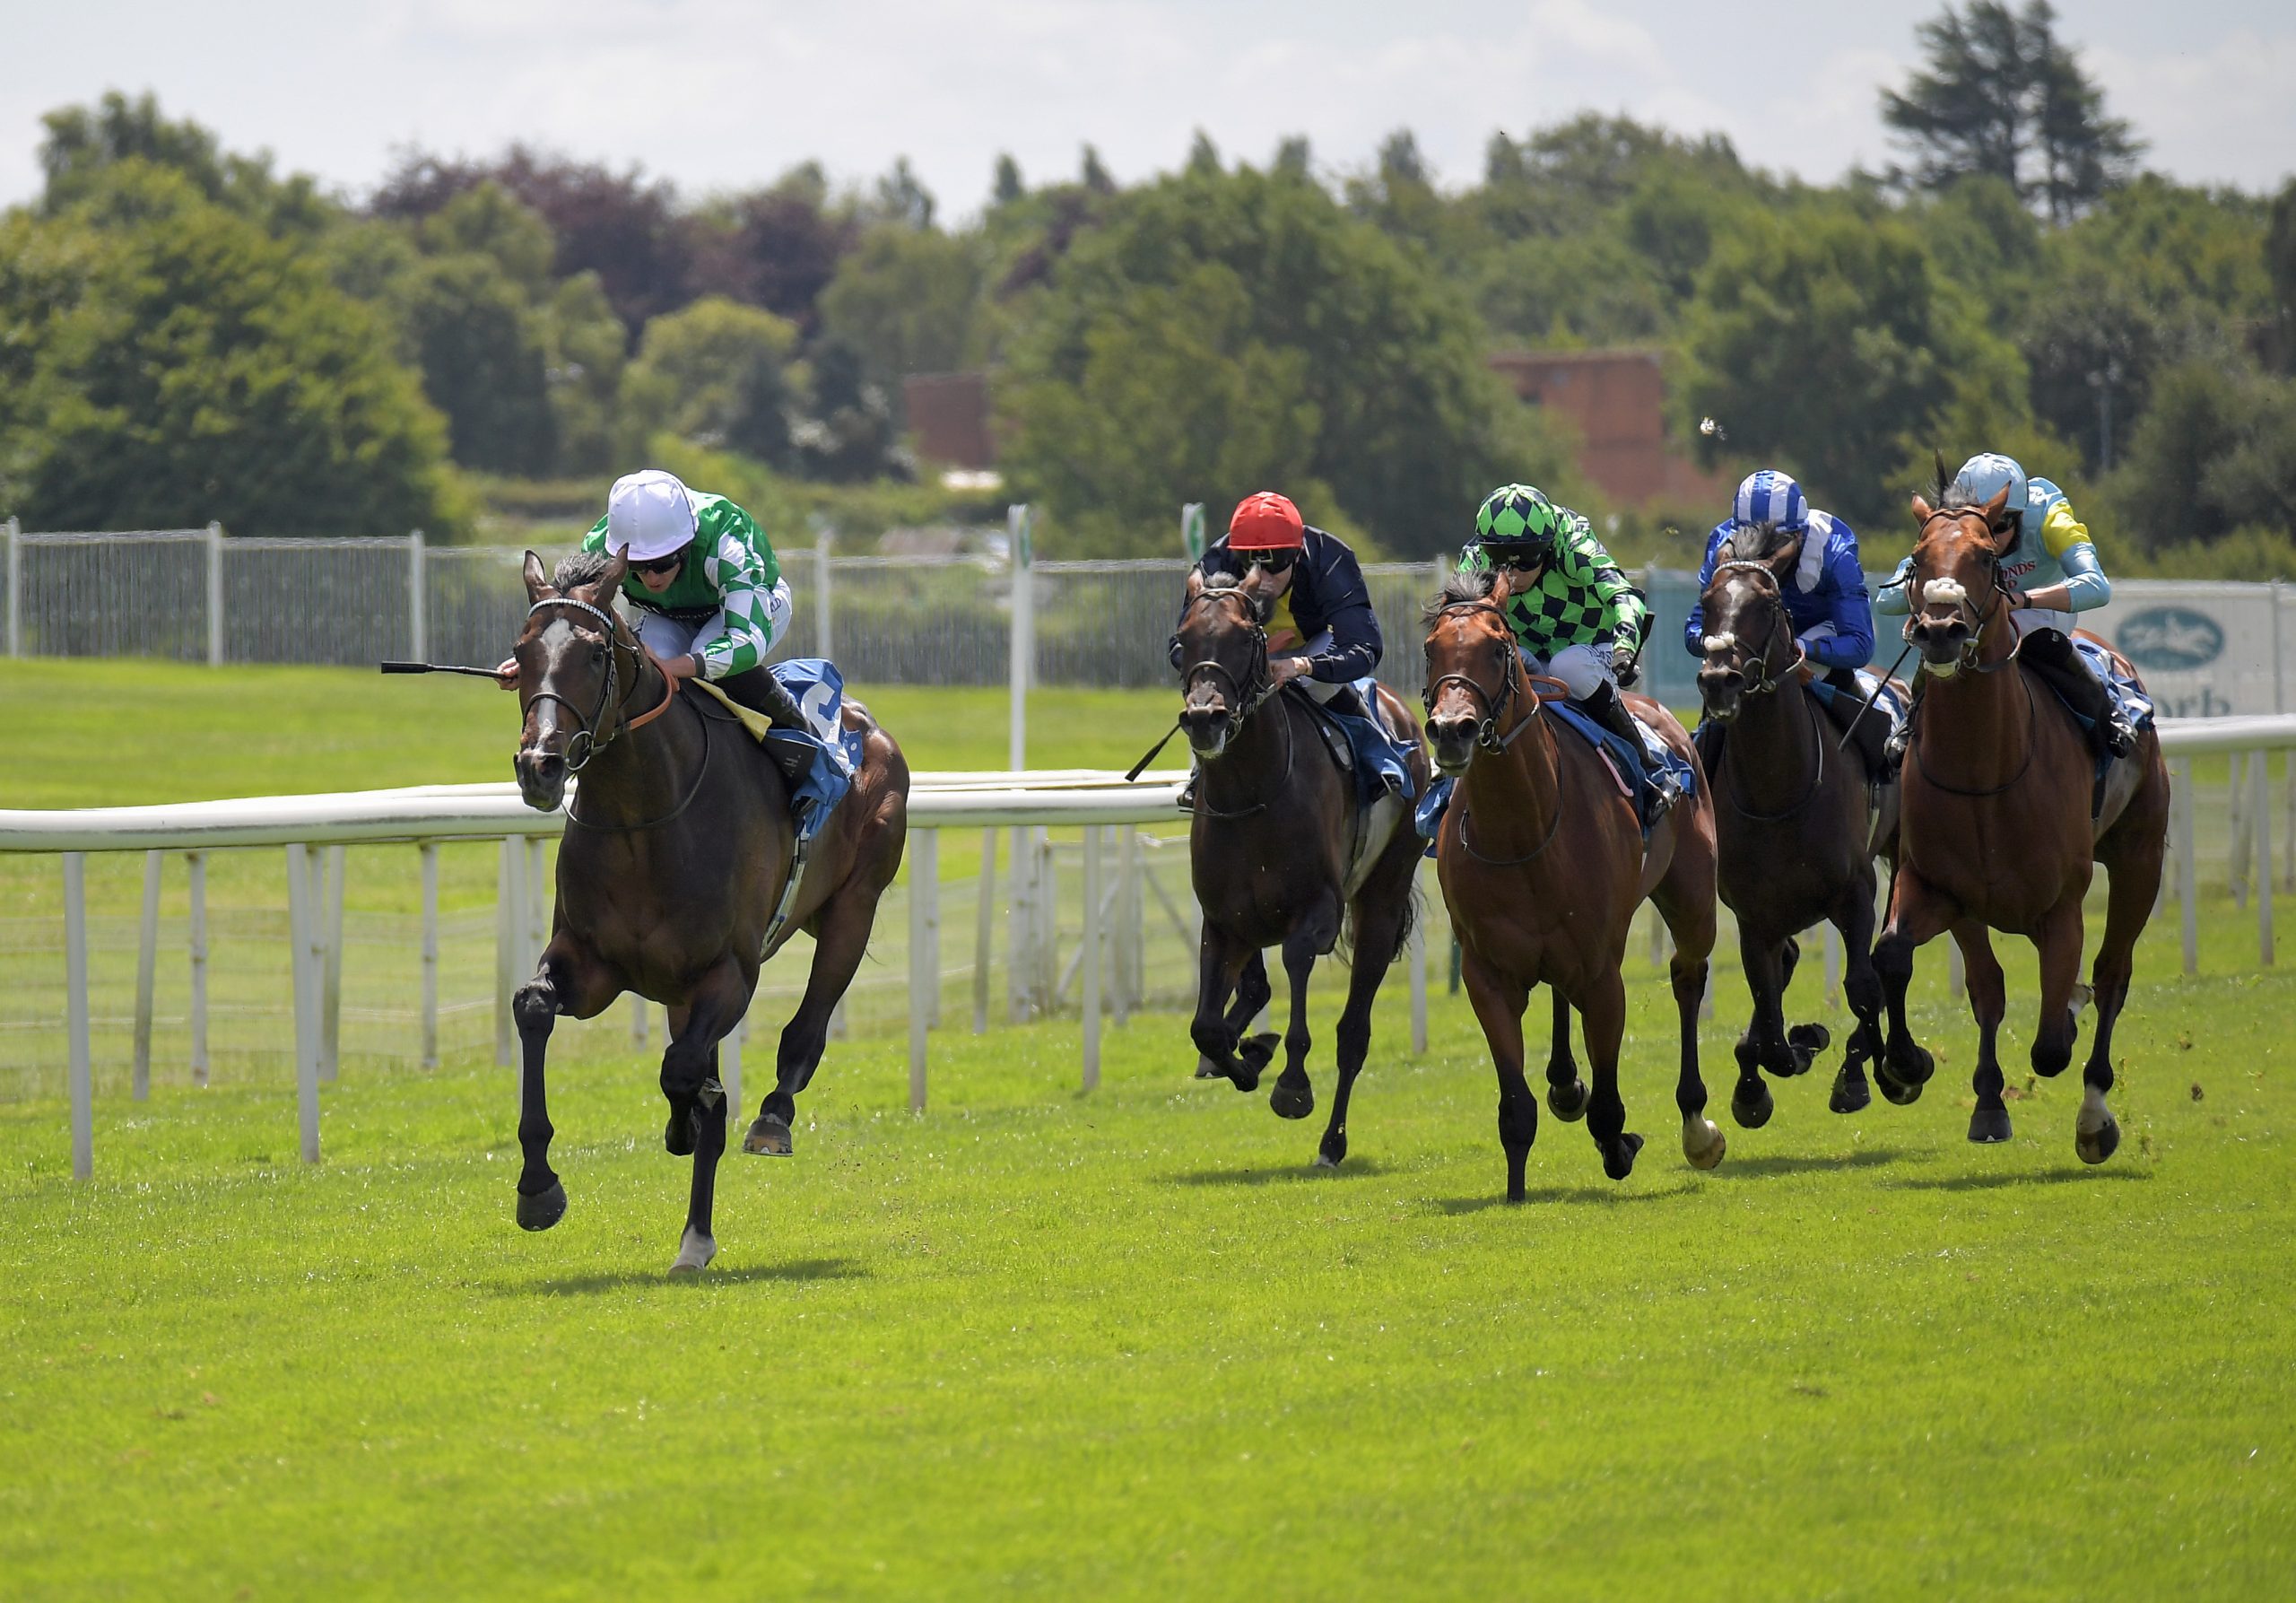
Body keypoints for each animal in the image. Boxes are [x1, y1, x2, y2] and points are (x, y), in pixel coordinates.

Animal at [506, 550, 910, 1272]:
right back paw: (694, 1231)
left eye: (592, 653)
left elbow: (685, 1072)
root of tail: (865, 724)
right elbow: (532, 1006)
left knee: (806, 1027)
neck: (643, 819)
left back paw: (769, 1122)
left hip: (853, 908)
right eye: (522, 652)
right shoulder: (592, 964)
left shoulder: (727, 973)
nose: (540, 765)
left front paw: (690, 1120)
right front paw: (538, 1188)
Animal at [1173, 570, 1431, 1170]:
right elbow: (1206, 1027)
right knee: (1251, 995)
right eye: (1182, 642)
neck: (1252, 794)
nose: (1204, 718)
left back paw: (1332, 1143)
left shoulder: (1319, 910)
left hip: (1383, 897)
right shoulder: (1222, 922)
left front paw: (1291, 1084)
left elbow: (1295, 965)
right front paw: (1244, 1057)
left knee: (1354, 1033)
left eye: (1246, 639)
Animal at [1423, 570, 1722, 1200]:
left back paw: (1697, 1125)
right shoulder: (1488, 975)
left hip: (1692, 898)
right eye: (1432, 650)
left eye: (1498, 649)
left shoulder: (1601, 972)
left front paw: (1620, 1145)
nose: (1453, 731)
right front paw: (1516, 1192)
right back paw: (1564, 1083)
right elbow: (1516, 1107)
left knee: (1687, 976)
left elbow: (1608, 1104)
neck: (1523, 832)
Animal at [1694, 524, 1901, 1124]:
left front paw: (1864, 1074)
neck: (1778, 790)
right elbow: (1770, 1027)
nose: (1720, 680)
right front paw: (1772, 1069)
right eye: (1707, 603)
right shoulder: (1754, 916)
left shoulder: (1855, 892)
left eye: (1767, 605)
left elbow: (1863, 985)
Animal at [1872, 477, 2170, 1161]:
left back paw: (2094, 1112)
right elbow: (1902, 957)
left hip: (2140, 856)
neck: (1987, 773)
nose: (1941, 630)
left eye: (1985, 556)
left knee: (2112, 973)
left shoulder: (2061, 905)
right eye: (1917, 559)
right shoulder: (1936, 887)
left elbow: (2052, 1044)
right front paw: (1910, 1066)